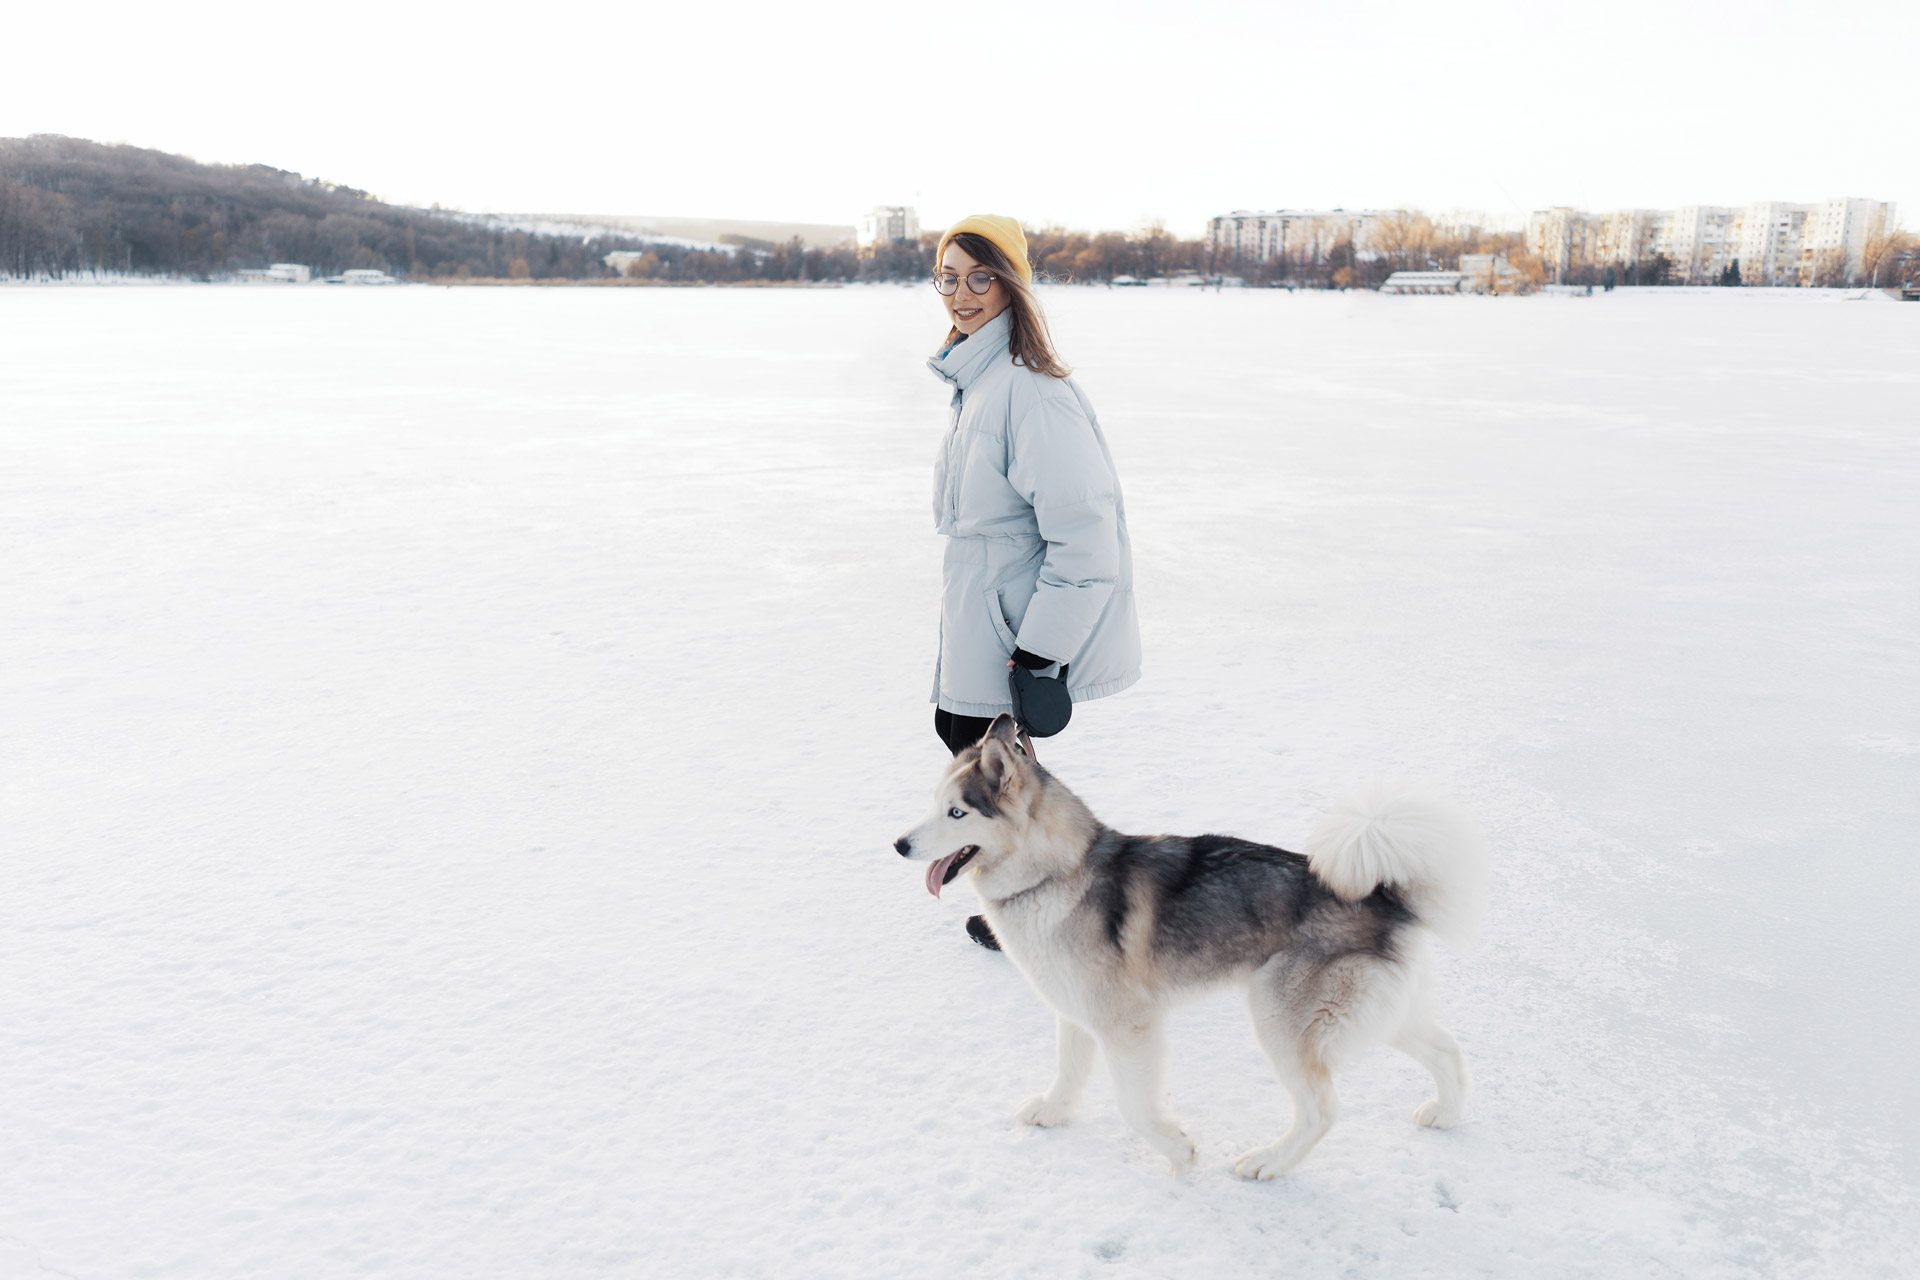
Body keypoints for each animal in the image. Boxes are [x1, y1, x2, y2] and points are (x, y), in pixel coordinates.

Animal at [890, 717, 1489, 1174]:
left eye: (957, 813)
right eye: (934, 804)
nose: (898, 844)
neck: (1060, 873)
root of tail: (1385, 896)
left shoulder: (1128, 1025)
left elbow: (1134, 1105)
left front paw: (1177, 1152)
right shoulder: (1075, 1010)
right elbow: (1068, 1072)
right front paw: (1052, 1113)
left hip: (1280, 1018)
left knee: (1322, 1110)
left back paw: (1267, 1163)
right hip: (1379, 1011)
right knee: (1447, 1050)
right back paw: (1446, 1114)